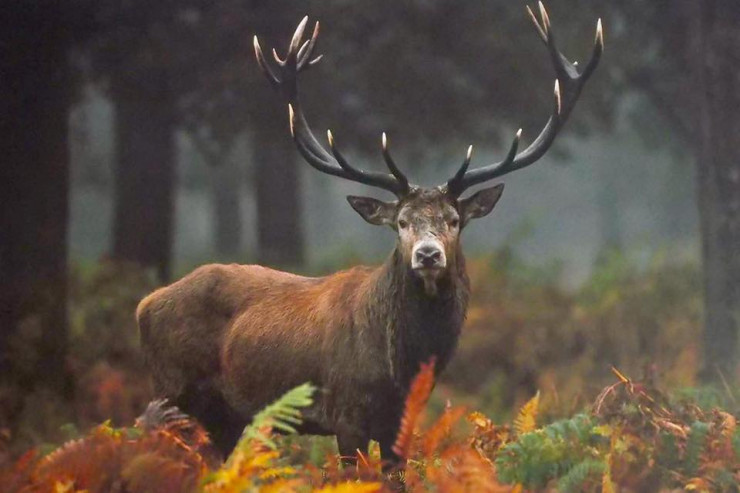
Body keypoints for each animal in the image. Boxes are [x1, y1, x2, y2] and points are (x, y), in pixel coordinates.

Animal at [137, 1, 600, 468]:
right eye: (401, 222)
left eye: (453, 219)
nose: (428, 255)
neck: (399, 367)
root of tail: (145, 304)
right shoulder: (346, 415)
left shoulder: (401, 423)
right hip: (175, 393)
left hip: (226, 417)